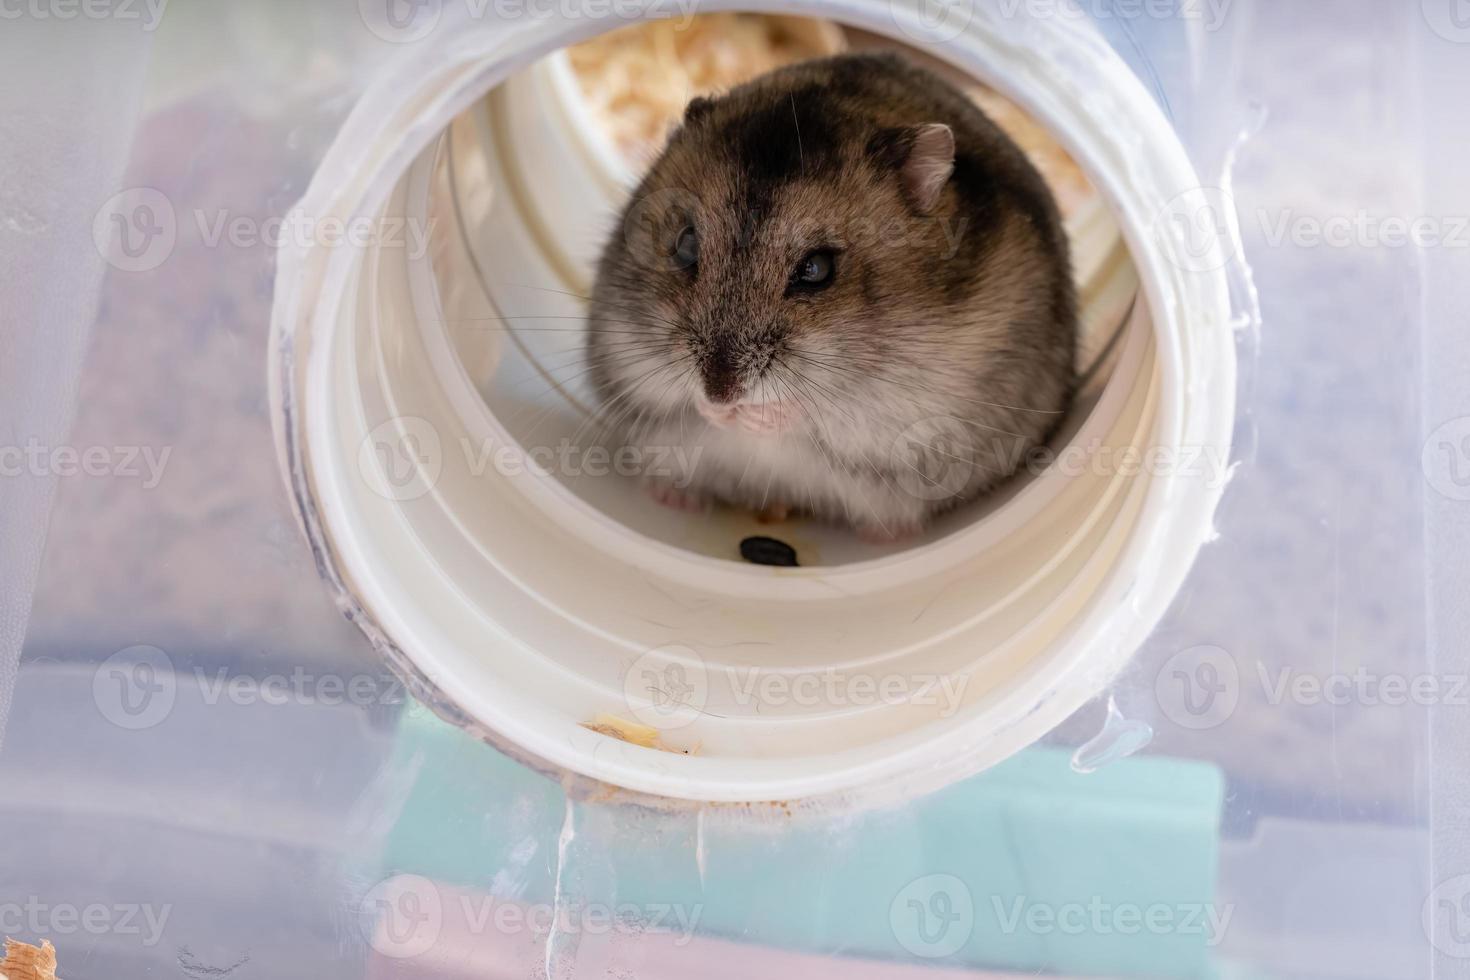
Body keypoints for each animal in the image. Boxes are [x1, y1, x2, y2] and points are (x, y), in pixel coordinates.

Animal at [585, 51, 1081, 543]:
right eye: (685, 244)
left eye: (816, 270)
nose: (723, 393)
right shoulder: (627, 351)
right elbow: (673, 395)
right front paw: (716, 412)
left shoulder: (908, 407)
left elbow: (814, 411)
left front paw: (754, 417)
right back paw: (673, 498)